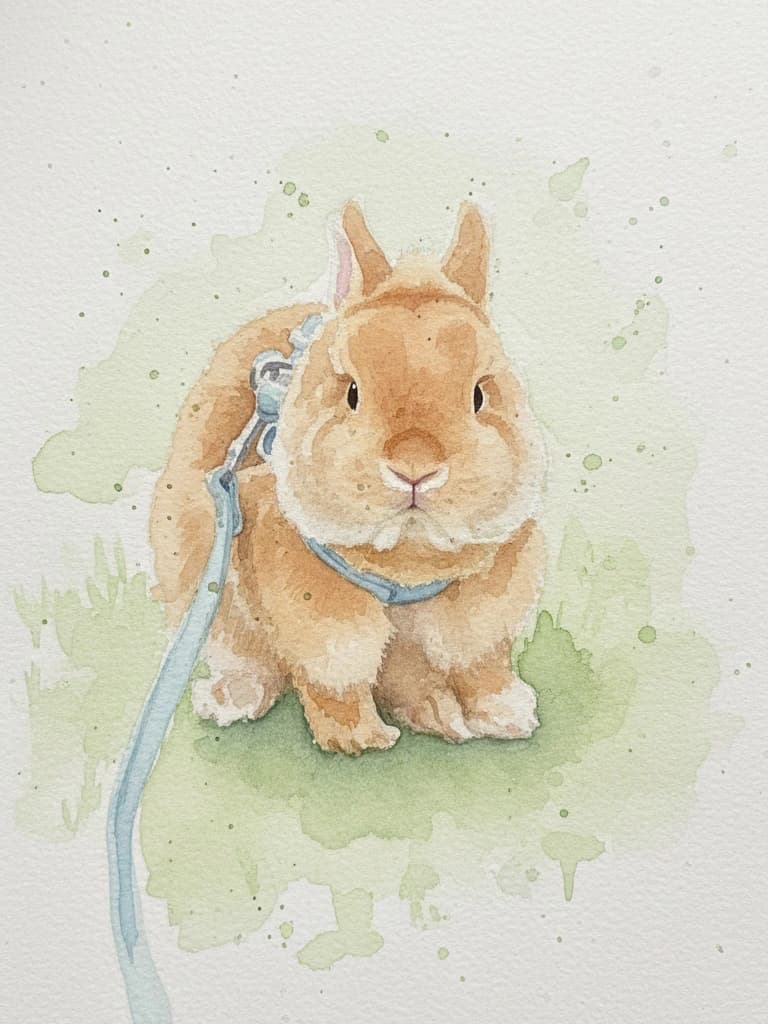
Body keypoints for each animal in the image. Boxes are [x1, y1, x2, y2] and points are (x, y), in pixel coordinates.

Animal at [150, 201, 546, 754]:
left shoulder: (483, 607)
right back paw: (234, 700)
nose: (415, 467)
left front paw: (506, 715)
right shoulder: (321, 621)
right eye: (352, 392)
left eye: (479, 395)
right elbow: (336, 675)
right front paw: (360, 739)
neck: (407, 559)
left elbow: (479, 662)